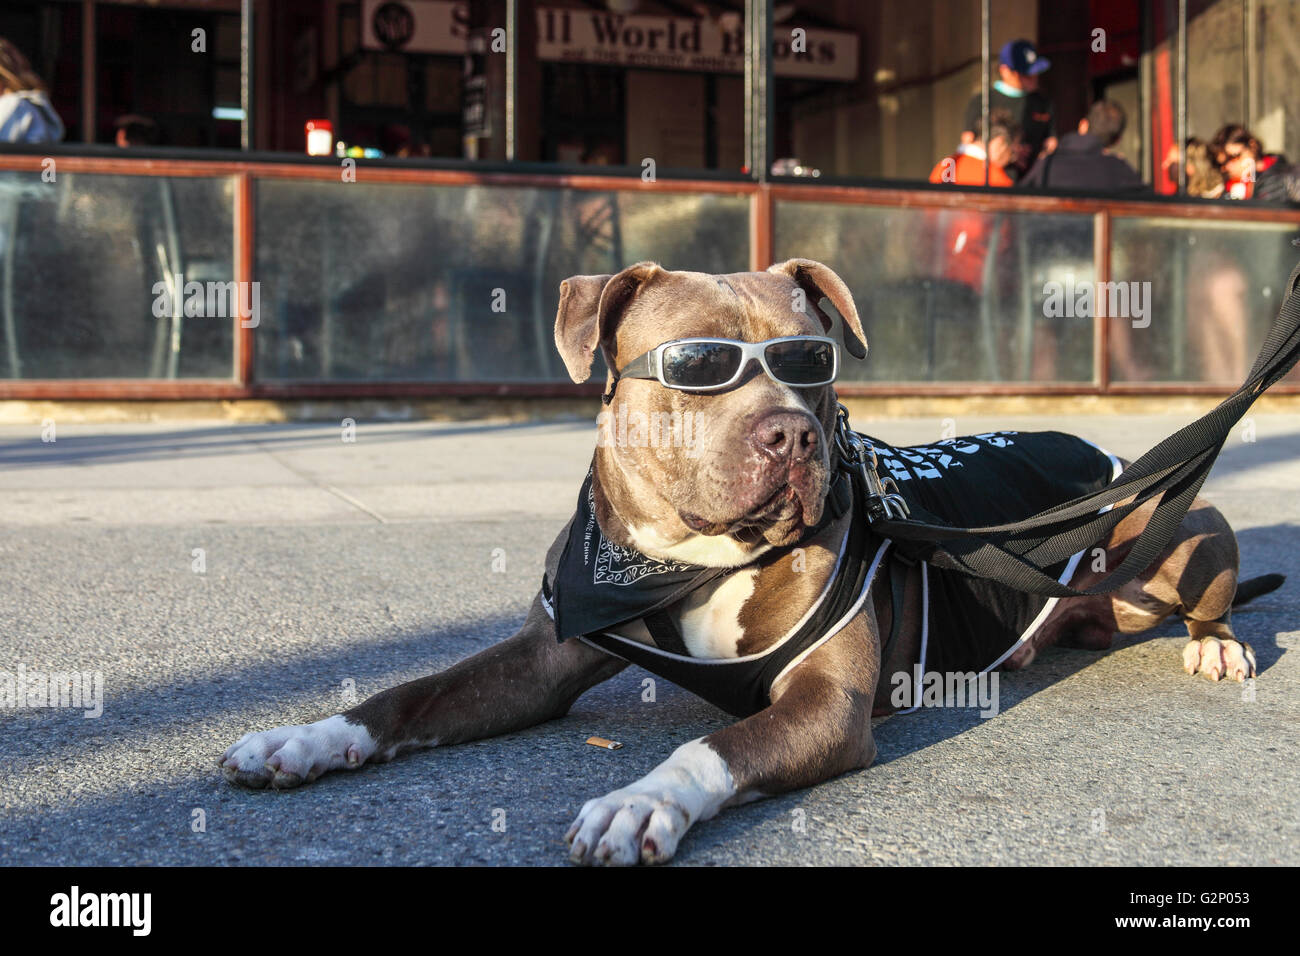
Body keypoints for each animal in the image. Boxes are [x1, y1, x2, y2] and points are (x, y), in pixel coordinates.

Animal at [220, 260, 1268, 868]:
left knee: (1208, 593)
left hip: (1175, 525)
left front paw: (639, 801)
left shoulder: (827, 705)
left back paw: (1217, 645)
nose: (793, 435)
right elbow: (412, 694)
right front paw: (305, 738)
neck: (689, 557)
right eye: (699, 365)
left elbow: (714, 747)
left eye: (812, 361)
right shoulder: (545, 655)